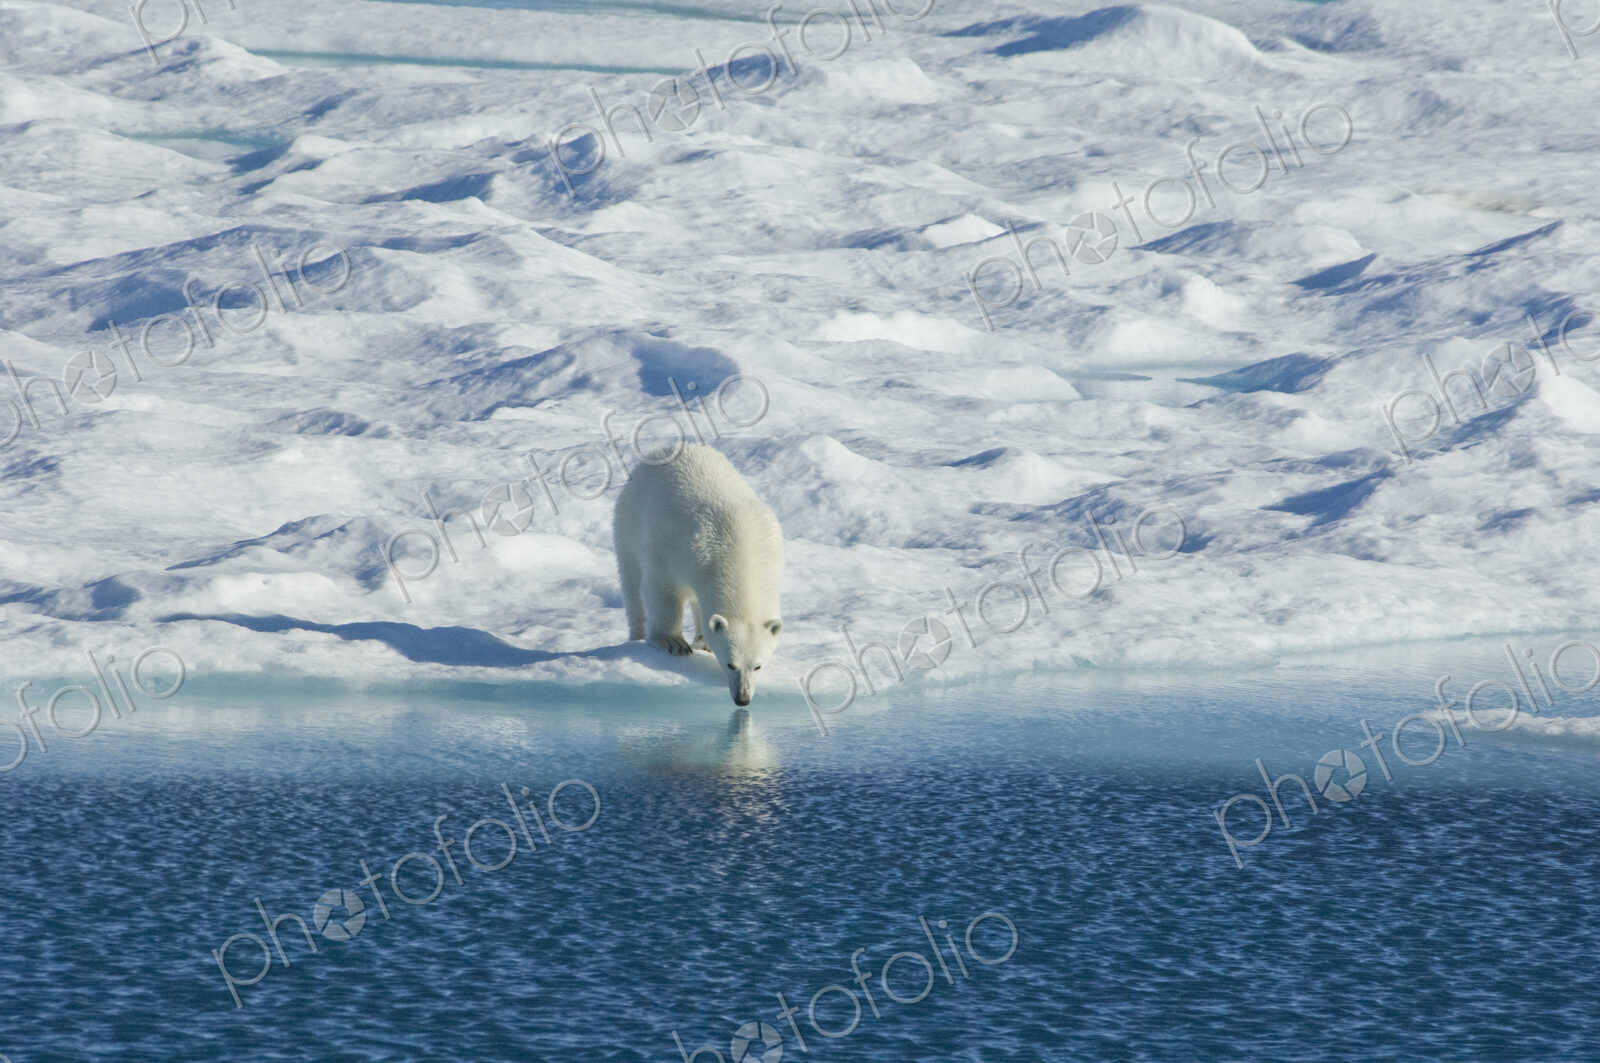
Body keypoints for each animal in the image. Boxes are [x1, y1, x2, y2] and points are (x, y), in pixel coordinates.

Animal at [612, 443, 785, 706]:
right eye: (730, 664)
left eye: (758, 666)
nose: (742, 698)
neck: (739, 547)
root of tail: (666, 449)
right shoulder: (678, 550)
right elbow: (662, 589)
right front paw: (673, 643)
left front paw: (705, 642)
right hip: (629, 520)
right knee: (631, 582)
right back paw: (636, 636)